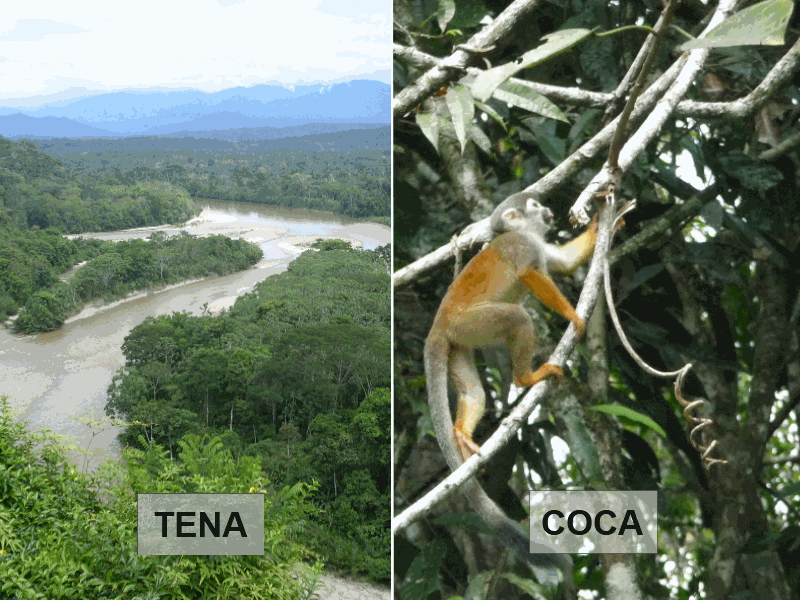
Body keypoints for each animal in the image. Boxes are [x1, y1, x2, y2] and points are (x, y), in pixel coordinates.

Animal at [422, 191, 596, 580]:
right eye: (534, 205)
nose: (548, 211)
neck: (526, 233)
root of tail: (438, 325)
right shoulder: (522, 245)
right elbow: (531, 273)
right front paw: (571, 315)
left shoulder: (538, 245)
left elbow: (563, 264)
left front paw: (610, 217)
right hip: (471, 323)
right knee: (517, 316)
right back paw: (525, 378)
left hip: (460, 342)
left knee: (474, 392)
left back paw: (460, 434)